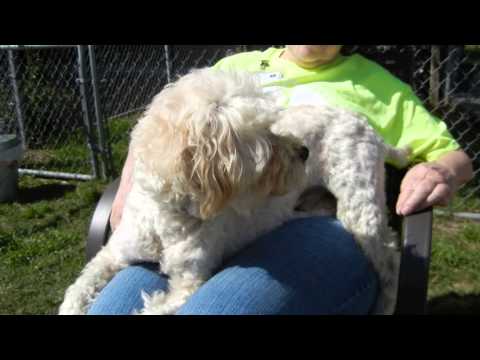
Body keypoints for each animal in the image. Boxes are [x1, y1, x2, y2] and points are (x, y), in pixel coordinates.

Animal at [58, 67, 406, 316]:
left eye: (276, 122)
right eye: (268, 135)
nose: (304, 151)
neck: (167, 217)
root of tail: (368, 127)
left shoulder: (190, 283)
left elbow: (156, 307)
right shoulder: (113, 253)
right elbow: (77, 289)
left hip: (360, 207)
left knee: (391, 259)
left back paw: (385, 304)